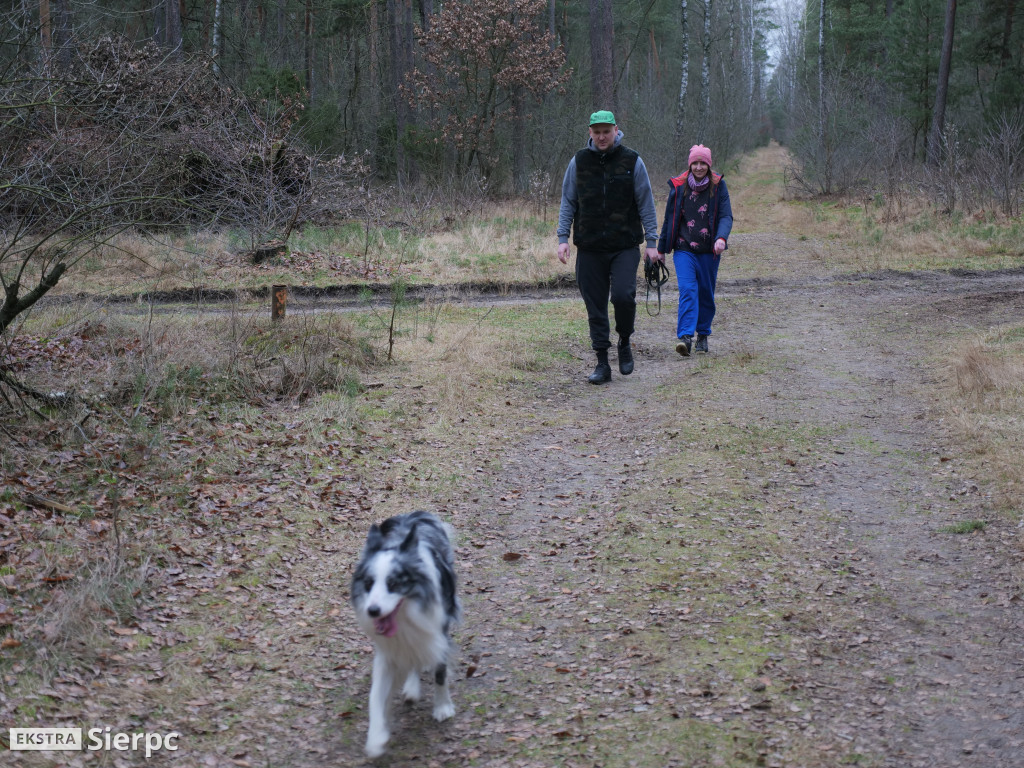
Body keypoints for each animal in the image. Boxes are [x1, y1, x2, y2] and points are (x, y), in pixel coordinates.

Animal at [354, 514, 462, 761]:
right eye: (368, 583)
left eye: (393, 583)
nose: (373, 611)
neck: (405, 615)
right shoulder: (387, 652)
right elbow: (376, 695)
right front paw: (376, 739)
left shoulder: (437, 635)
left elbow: (440, 673)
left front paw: (443, 708)